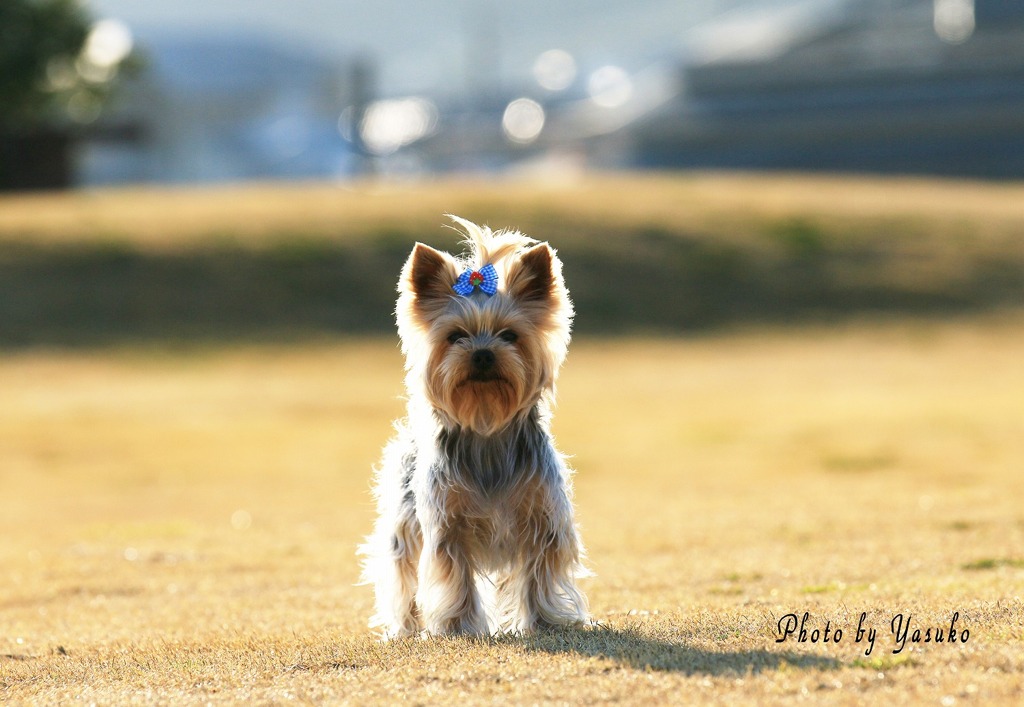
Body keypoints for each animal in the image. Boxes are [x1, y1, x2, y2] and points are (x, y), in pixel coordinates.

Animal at [360, 213, 589, 635]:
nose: (482, 353)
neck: (487, 424)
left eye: (510, 335)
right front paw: (459, 625)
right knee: (402, 572)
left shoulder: (543, 517)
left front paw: (544, 620)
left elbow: (538, 573)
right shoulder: (447, 525)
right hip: (403, 521)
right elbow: (456, 576)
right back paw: (404, 628)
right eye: (455, 337)